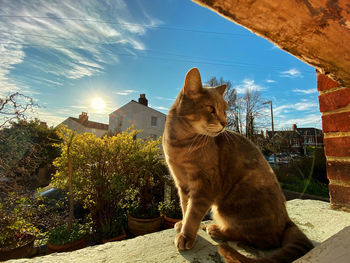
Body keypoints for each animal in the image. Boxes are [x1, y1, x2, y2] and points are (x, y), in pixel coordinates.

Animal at [163, 68, 314, 263]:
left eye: (224, 111)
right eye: (211, 109)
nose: (224, 123)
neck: (180, 144)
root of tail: (287, 220)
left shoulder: (204, 186)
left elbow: (193, 213)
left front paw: (186, 235)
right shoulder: (181, 183)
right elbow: (184, 206)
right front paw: (181, 224)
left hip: (230, 205)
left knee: (261, 239)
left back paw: (216, 229)